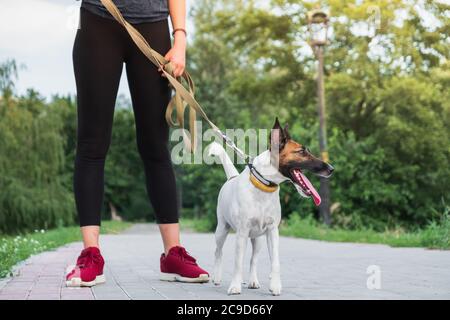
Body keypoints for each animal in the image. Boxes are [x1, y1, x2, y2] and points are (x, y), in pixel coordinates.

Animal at [208, 117, 334, 296]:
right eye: (301, 152)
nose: (331, 169)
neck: (264, 186)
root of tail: (231, 177)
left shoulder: (272, 231)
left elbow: (274, 261)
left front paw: (275, 285)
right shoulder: (241, 233)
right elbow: (237, 262)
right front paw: (235, 286)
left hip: (258, 239)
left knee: (253, 259)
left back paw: (253, 281)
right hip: (222, 229)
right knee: (218, 252)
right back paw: (217, 277)